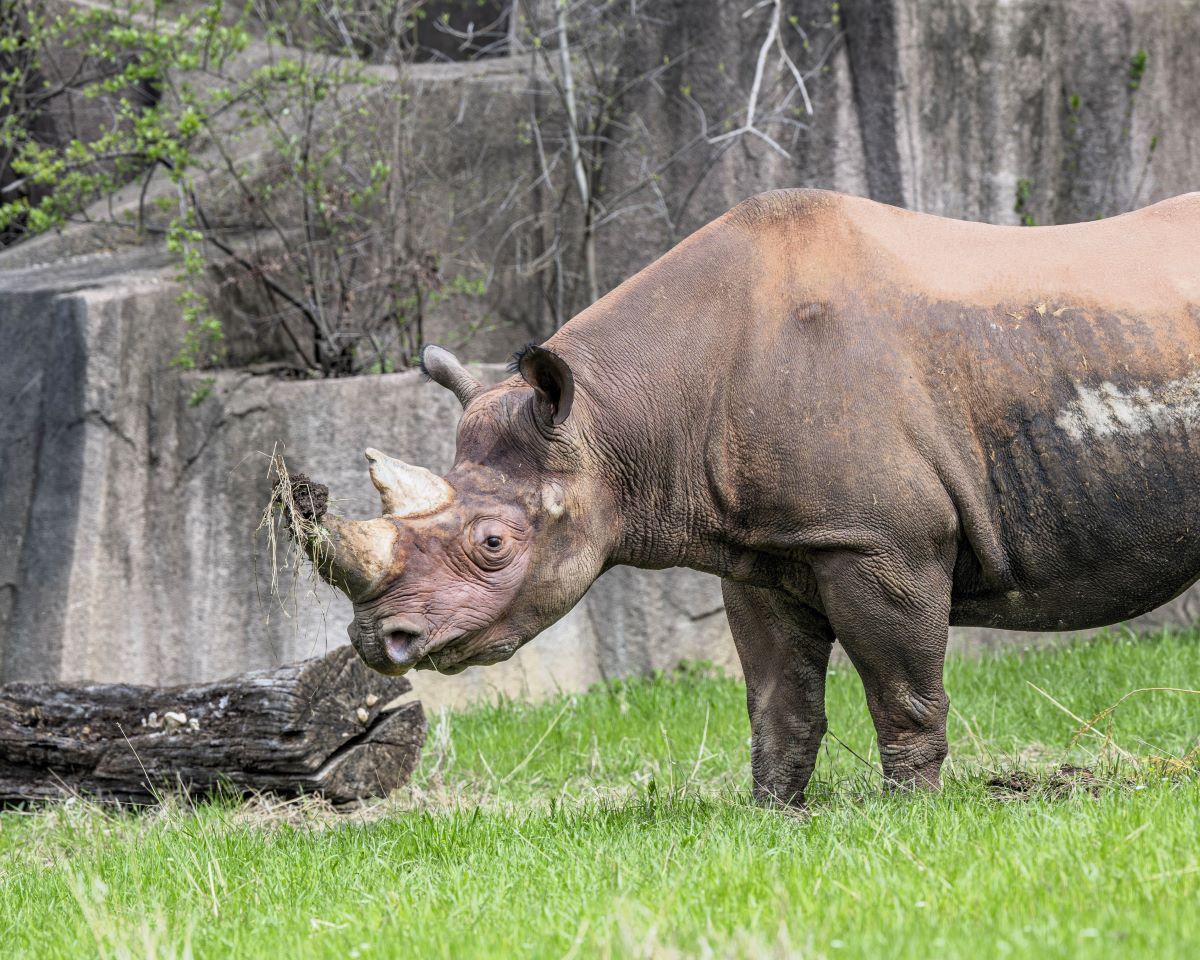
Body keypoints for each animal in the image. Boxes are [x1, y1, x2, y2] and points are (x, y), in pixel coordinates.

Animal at [298, 189, 1200, 806]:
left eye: (493, 545)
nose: (377, 640)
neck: (621, 419)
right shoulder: (769, 545)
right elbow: (776, 699)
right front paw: (773, 816)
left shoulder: (877, 540)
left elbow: (903, 690)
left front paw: (913, 813)